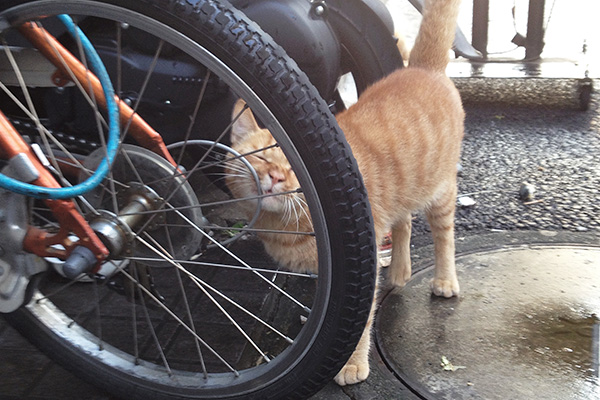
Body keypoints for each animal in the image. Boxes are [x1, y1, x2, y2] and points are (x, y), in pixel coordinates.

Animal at [225, 0, 464, 388]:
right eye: (260, 157)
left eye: (292, 167)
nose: (275, 177)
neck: (284, 224)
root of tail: (422, 69)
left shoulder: (359, 267)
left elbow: (360, 323)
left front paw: (352, 363)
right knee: (404, 223)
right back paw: (399, 272)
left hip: (440, 192)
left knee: (444, 236)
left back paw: (444, 279)